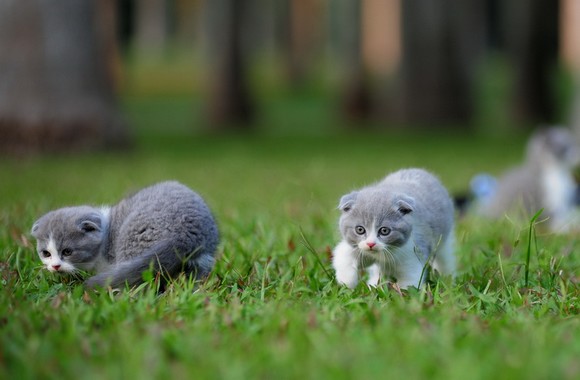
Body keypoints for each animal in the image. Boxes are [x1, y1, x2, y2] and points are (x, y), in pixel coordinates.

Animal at [31, 181, 220, 288]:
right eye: (46, 253)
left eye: (68, 251)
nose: (55, 266)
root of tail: (185, 234)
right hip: (203, 260)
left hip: (134, 242)